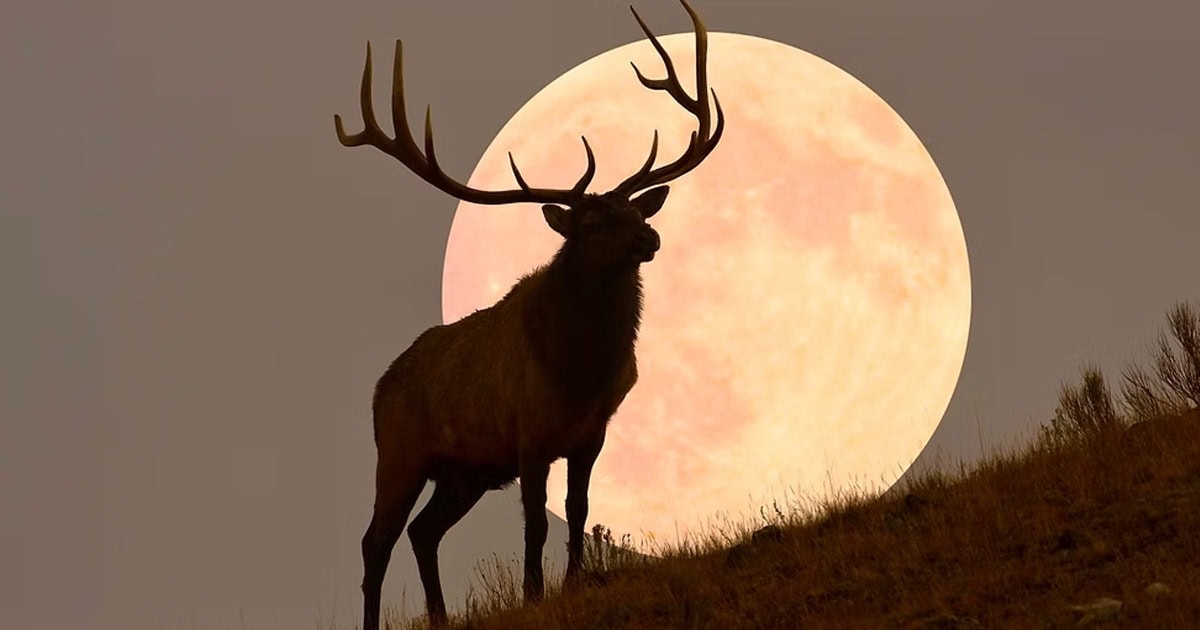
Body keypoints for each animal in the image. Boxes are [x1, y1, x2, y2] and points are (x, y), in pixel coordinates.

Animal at [333, 1, 724, 627]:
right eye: (589, 222)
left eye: (634, 210)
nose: (651, 237)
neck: (579, 371)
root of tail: (378, 388)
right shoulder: (530, 436)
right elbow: (537, 522)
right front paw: (533, 595)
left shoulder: (591, 434)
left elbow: (578, 508)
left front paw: (572, 583)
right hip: (398, 450)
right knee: (377, 541)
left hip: (463, 473)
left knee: (422, 532)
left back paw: (440, 616)